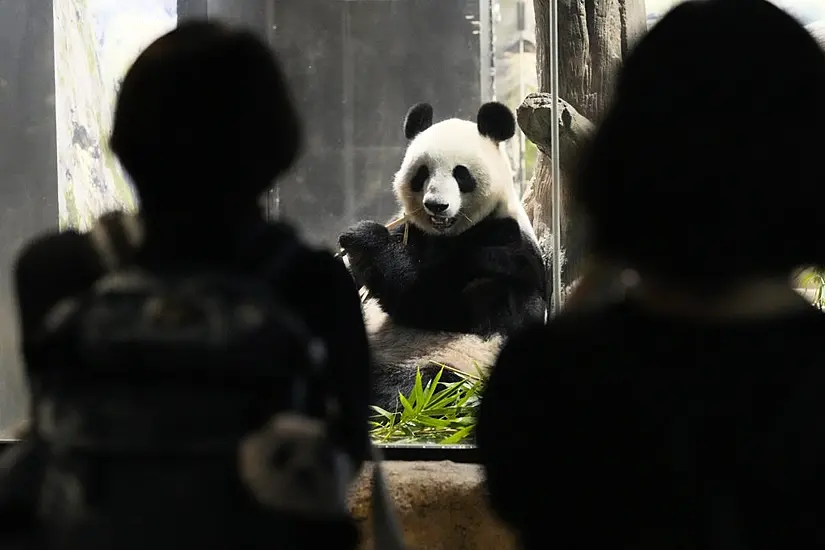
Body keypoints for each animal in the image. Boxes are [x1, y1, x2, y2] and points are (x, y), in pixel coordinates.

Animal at [338, 101, 552, 412]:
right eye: (422, 173)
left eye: (461, 174)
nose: (436, 205)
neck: (449, 234)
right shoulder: (413, 231)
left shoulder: (504, 246)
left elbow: (435, 302)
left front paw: (365, 240)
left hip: (454, 366)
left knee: (415, 388)